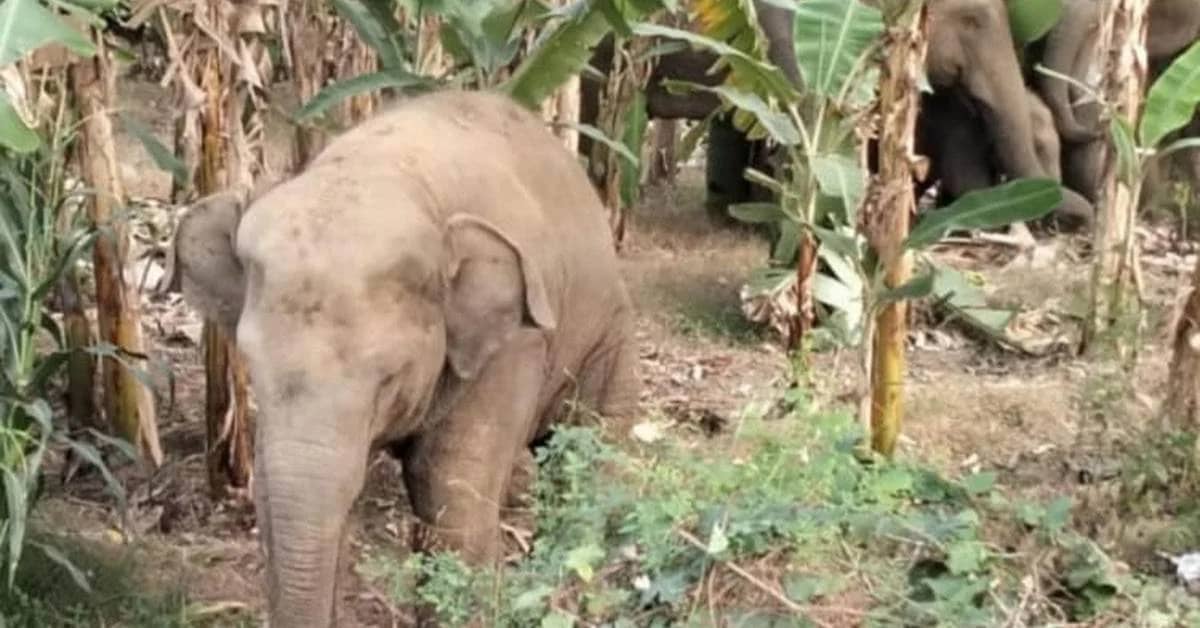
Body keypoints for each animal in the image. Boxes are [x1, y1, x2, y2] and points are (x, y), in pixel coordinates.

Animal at [168, 90, 640, 627]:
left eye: (388, 379)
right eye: (253, 368)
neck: (389, 174)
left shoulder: (514, 345)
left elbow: (450, 495)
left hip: (609, 337)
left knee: (589, 460)